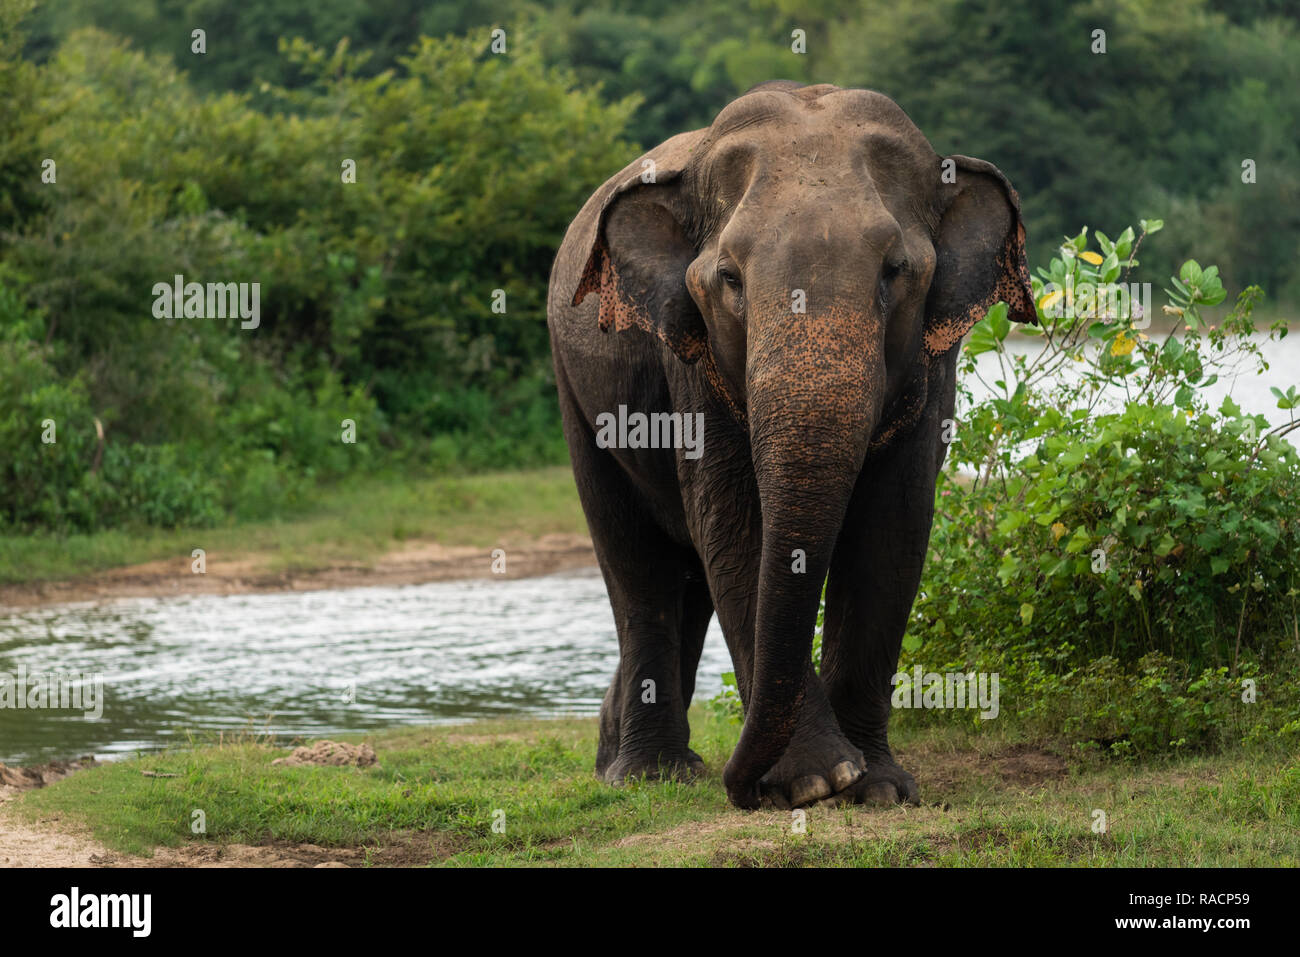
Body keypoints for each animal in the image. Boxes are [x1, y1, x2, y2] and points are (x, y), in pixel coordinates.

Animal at [543, 80, 1029, 806]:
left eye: (895, 270)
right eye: (729, 278)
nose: (742, 787)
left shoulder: (933, 359)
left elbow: (894, 525)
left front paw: (876, 786)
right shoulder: (692, 362)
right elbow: (733, 525)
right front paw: (815, 782)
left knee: (686, 576)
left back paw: (632, 758)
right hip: (576, 391)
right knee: (637, 561)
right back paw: (651, 774)